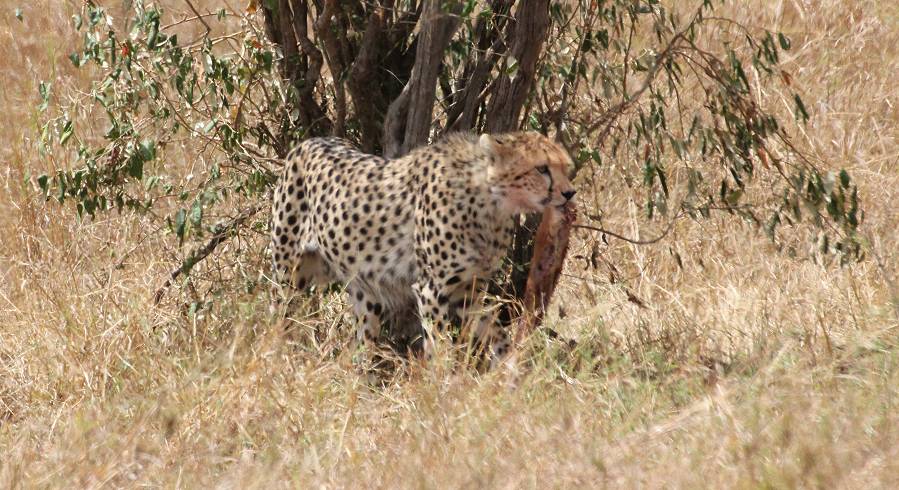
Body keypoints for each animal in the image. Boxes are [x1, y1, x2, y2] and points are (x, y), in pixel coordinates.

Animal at [270, 132, 576, 362]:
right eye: (542, 168)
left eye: (565, 168)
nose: (569, 193)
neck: (490, 202)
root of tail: (311, 140)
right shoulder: (431, 289)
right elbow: (440, 346)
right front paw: (442, 387)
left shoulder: (470, 290)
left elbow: (495, 331)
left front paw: (508, 369)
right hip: (289, 275)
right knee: (278, 319)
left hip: (366, 291)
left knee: (361, 345)